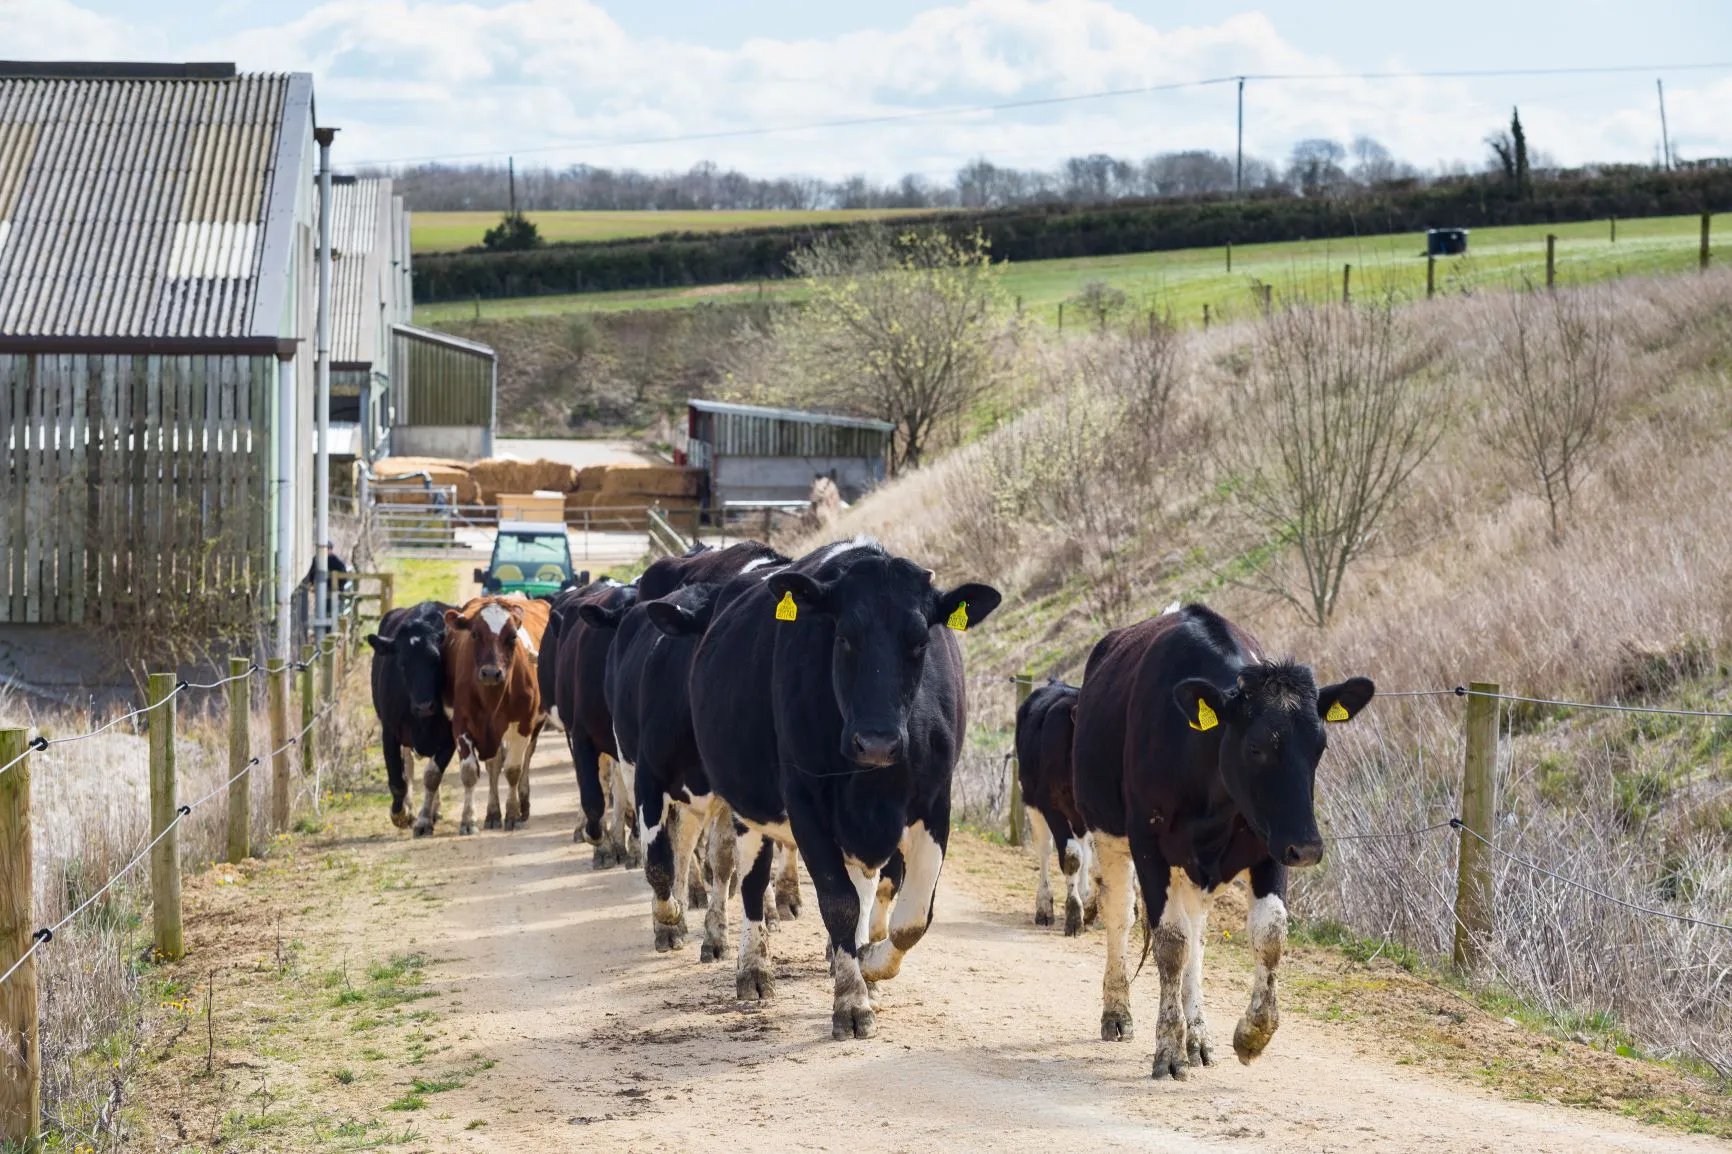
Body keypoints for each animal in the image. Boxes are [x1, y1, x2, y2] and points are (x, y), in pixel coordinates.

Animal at [365, 601, 456, 834]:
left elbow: (433, 775)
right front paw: (400, 814)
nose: (424, 706)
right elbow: (397, 779)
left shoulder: (451, 735)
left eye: (436, 660)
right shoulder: (389, 731)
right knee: (408, 764)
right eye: (402, 663)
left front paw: (426, 817)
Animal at [444, 595, 551, 835]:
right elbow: (469, 772)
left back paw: (522, 806)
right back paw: (492, 812)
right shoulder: (461, 723)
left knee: (525, 760)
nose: (491, 672)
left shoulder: (524, 723)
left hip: (534, 725)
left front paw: (512, 814)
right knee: (493, 766)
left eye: (512, 636)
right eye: (475, 634)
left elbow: (513, 770)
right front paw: (468, 820)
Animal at [689, 538, 1000, 1040]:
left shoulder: (937, 802)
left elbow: (912, 920)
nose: (877, 741)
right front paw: (852, 1003)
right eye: (844, 637)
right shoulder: (805, 801)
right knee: (752, 881)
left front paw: (868, 966)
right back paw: (754, 969)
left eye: (920, 642)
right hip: (747, 805)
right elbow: (838, 904)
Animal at [1014, 677, 1097, 935]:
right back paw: (1044, 907)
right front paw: (1074, 914)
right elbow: (1071, 856)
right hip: (1032, 800)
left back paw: (1085, 894)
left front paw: (1089, 904)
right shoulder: (1049, 804)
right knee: (1044, 848)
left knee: (1085, 843)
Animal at [1071, 602, 1374, 1079]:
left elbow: (1269, 933)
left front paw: (1252, 1034)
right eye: (1256, 748)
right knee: (1120, 911)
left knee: (1197, 932)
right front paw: (1168, 1050)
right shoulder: (1149, 842)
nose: (1309, 847)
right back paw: (1118, 1013)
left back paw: (1198, 1036)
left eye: (1320, 746)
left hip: (1200, 865)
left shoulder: (1271, 844)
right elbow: (1170, 943)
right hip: (1108, 829)